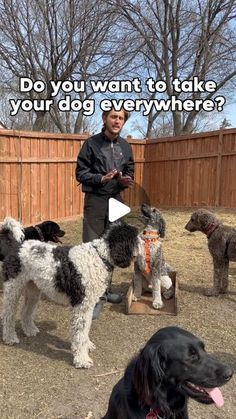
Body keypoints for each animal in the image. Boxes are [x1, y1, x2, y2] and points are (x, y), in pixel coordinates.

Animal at [0, 218, 140, 370]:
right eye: (135, 237)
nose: (145, 242)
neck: (99, 256)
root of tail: (16, 246)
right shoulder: (81, 306)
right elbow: (80, 333)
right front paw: (82, 359)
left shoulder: (88, 306)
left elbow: (85, 331)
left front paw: (87, 346)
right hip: (13, 289)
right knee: (7, 316)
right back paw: (10, 338)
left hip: (33, 291)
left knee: (25, 312)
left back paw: (30, 330)